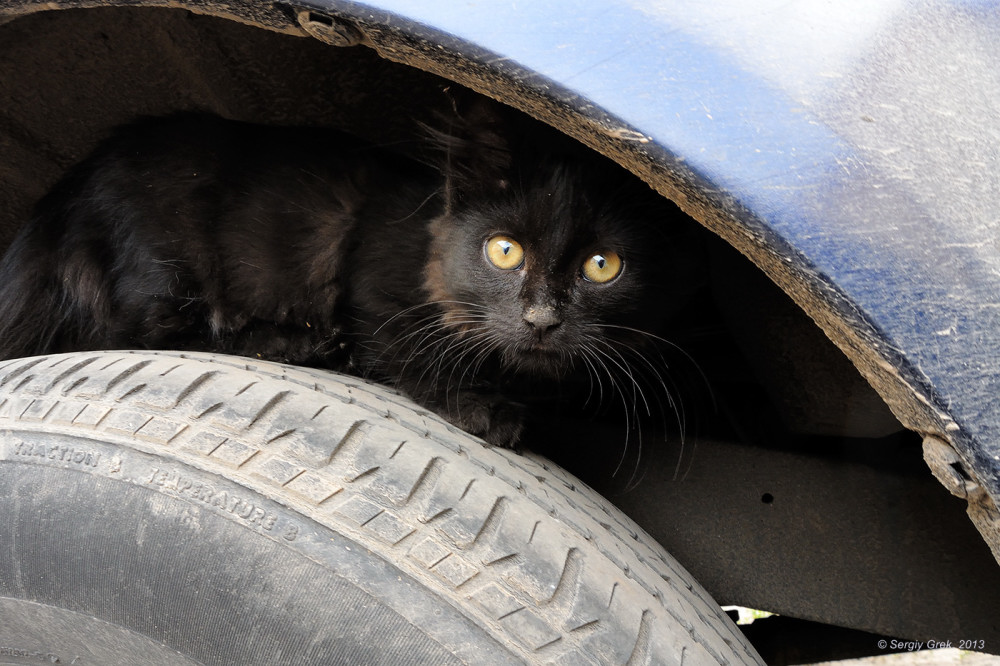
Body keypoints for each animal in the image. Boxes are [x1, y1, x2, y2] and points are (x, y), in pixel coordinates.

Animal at [0, 101, 704, 448]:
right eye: (504, 252)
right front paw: (485, 409)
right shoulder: (367, 275)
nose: (540, 318)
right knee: (144, 332)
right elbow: (404, 347)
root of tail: (62, 199)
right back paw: (303, 343)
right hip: (161, 259)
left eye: (602, 267)